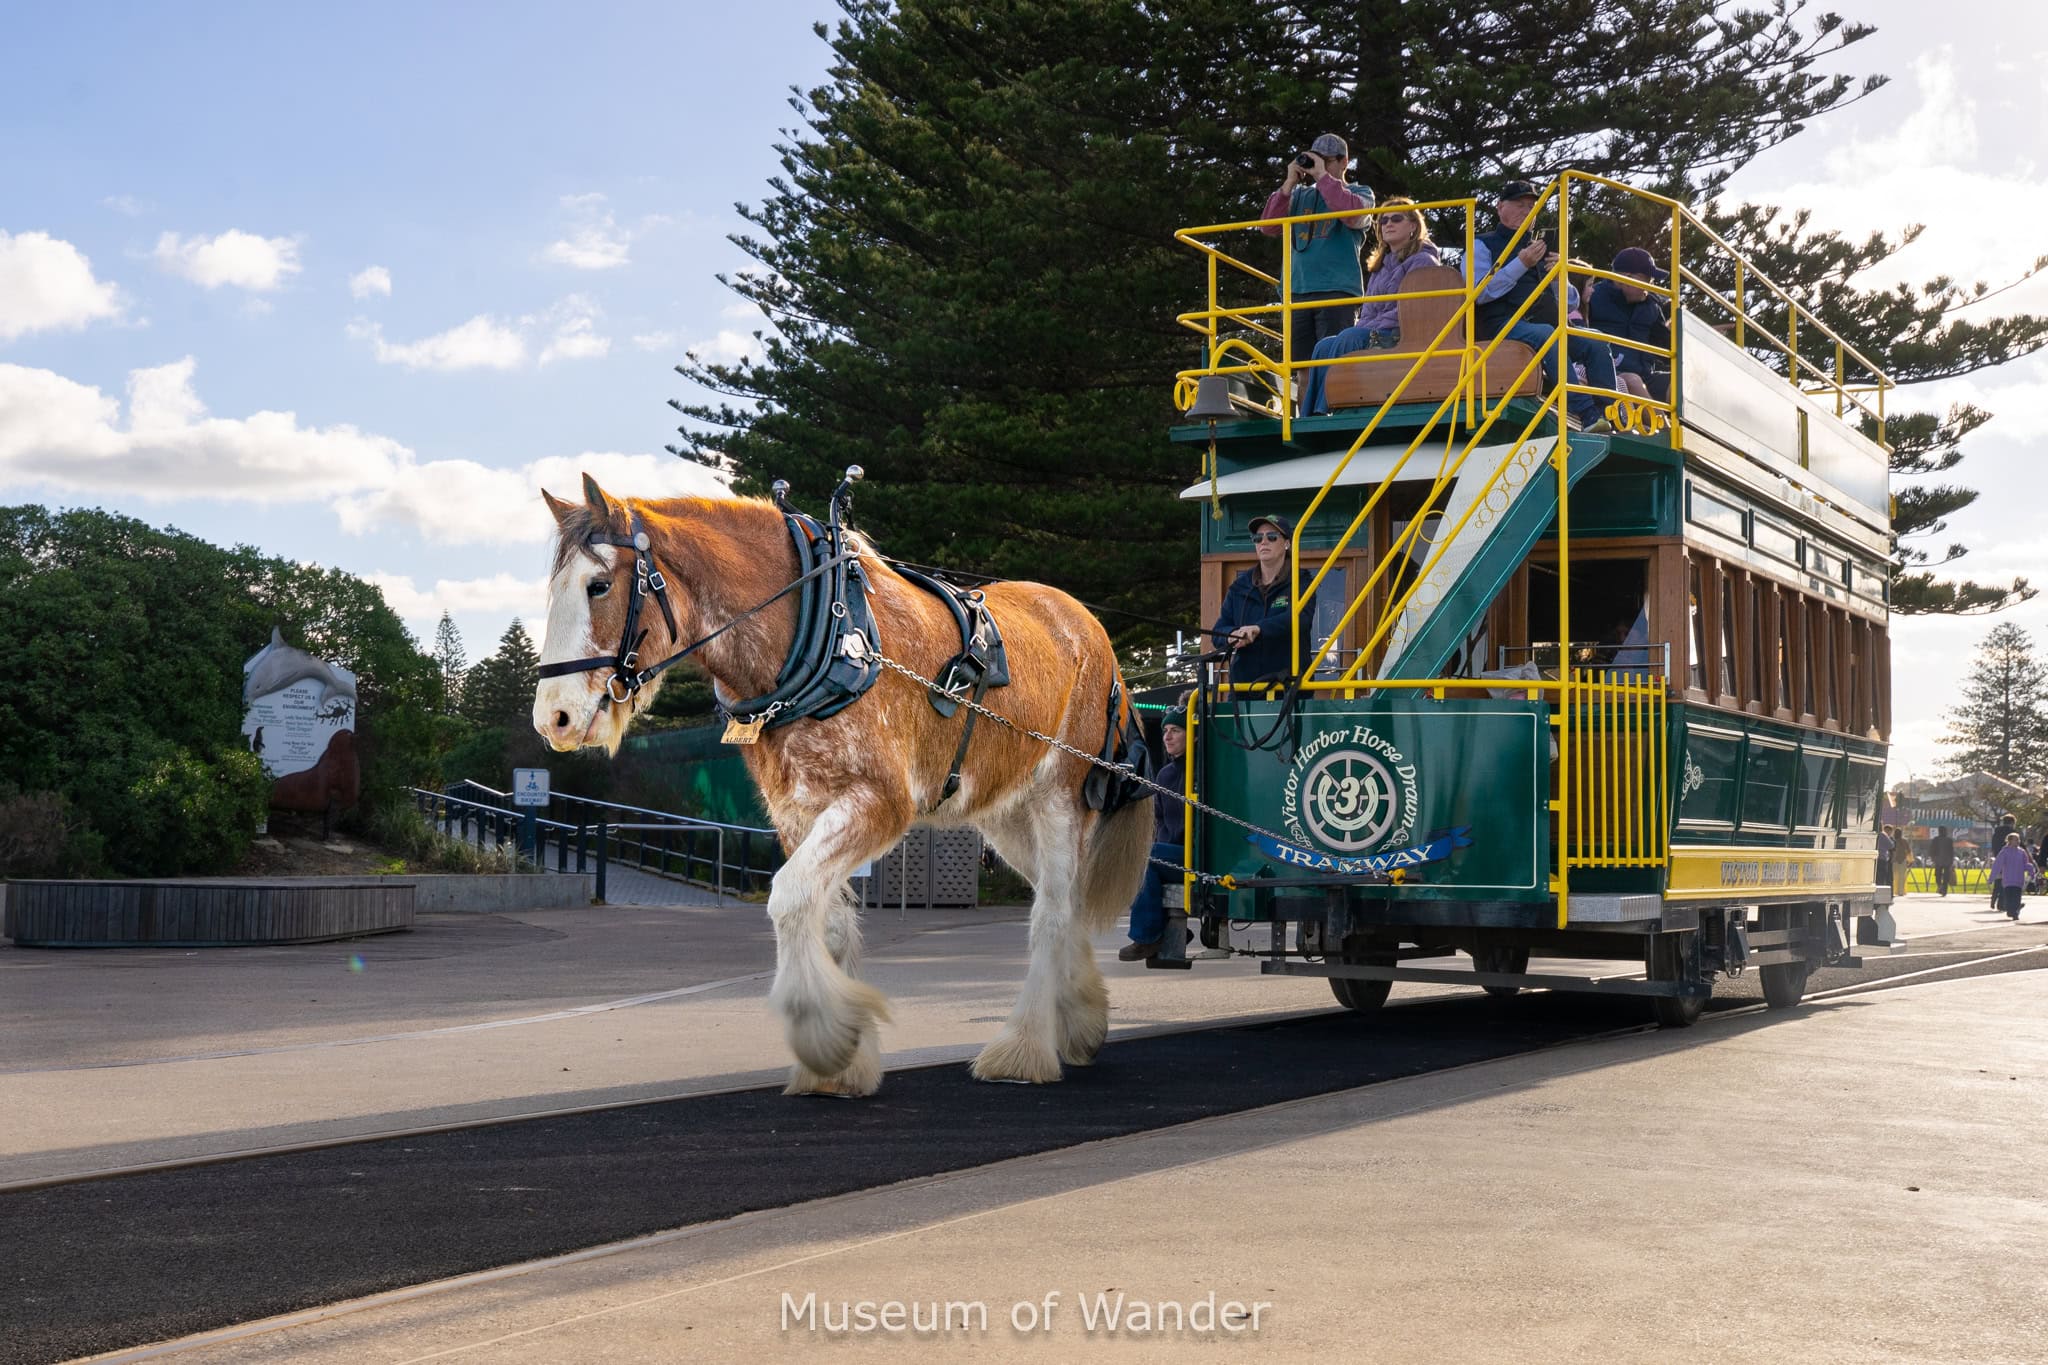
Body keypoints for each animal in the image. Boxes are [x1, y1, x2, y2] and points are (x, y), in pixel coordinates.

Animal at [531, 475, 1153, 1095]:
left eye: (599, 586)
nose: (552, 719)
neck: (820, 632)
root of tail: (1091, 630)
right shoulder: (796, 812)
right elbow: (824, 918)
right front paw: (843, 1064)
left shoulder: (879, 803)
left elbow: (788, 897)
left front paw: (823, 1037)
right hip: (1005, 813)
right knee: (1064, 896)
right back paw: (1079, 1020)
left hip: (1059, 797)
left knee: (1051, 911)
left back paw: (1023, 1049)